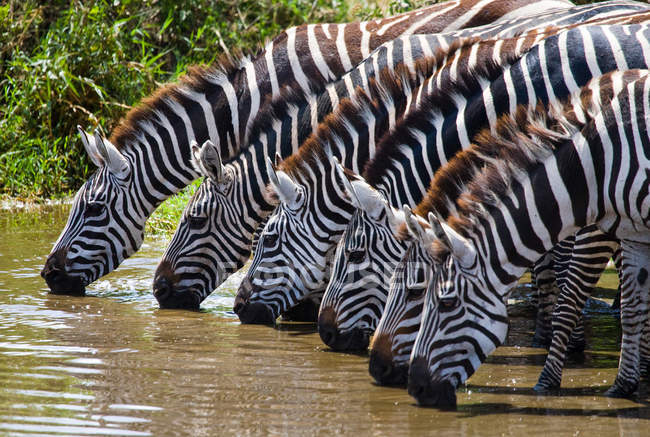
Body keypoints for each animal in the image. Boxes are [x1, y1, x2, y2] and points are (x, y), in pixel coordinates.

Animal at [404, 70, 648, 408]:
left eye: (447, 302)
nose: (415, 387)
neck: (594, 168)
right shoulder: (635, 235)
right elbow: (633, 311)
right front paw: (623, 385)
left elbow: (568, 302)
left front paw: (547, 381)